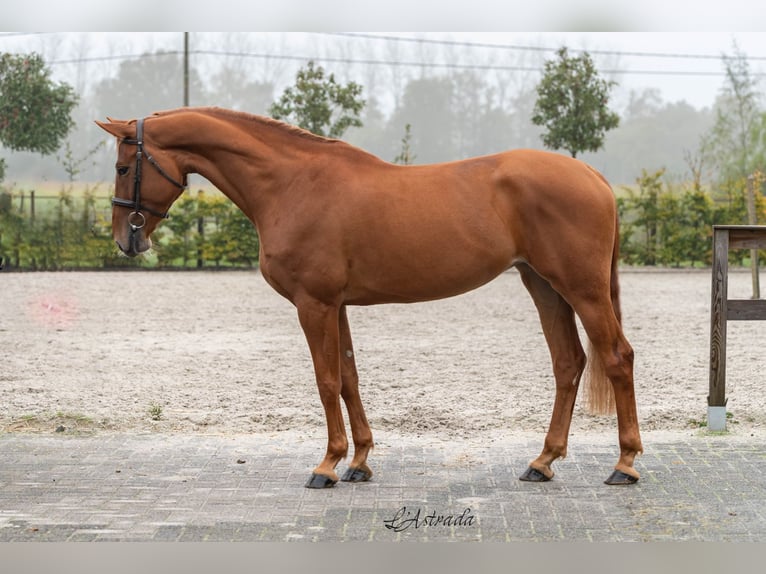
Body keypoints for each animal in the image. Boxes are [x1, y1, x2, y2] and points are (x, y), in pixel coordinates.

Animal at [99, 106, 644, 488]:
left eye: (125, 167)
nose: (126, 240)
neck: (291, 184)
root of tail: (592, 176)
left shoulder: (314, 304)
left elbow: (325, 381)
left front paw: (327, 465)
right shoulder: (336, 305)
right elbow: (348, 379)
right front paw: (359, 461)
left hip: (582, 289)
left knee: (617, 357)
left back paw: (625, 464)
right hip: (544, 286)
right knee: (568, 363)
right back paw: (543, 461)